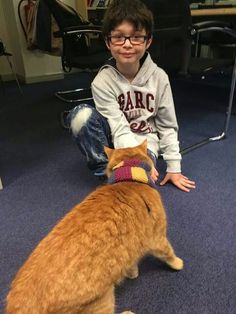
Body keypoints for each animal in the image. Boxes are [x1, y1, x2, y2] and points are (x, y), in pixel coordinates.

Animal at [4, 140, 183, 314]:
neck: (128, 178)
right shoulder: (157, 238)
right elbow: (169, 253)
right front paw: (178, 263)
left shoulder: (131, 247)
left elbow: (131, 262)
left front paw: (132, 273)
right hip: (102, 301)